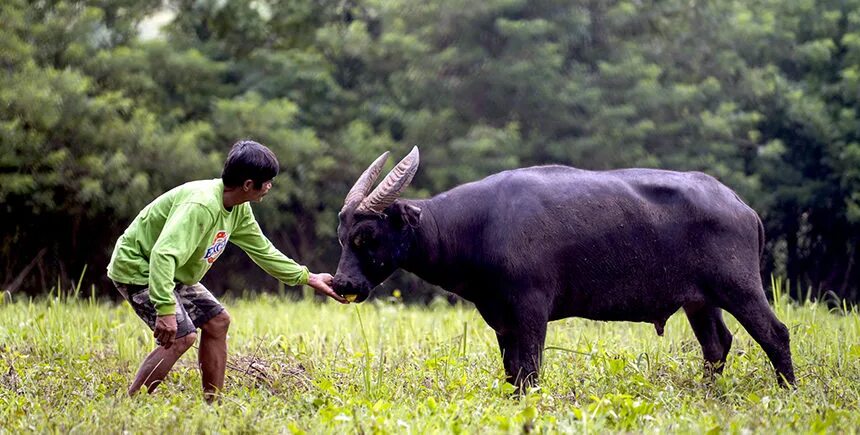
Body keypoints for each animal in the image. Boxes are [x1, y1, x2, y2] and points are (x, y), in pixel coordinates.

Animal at [332, 148, 796, 390]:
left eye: (366, 237)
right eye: (342, 235)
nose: (343, 282)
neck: (480, 226)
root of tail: (742, 207)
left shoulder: (531, 309)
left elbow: (530, 370)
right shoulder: (502, 320)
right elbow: (513, 374)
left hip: (740, 287)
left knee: (775, 334)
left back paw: (787, 390)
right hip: (701, 301)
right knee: (717, 344)